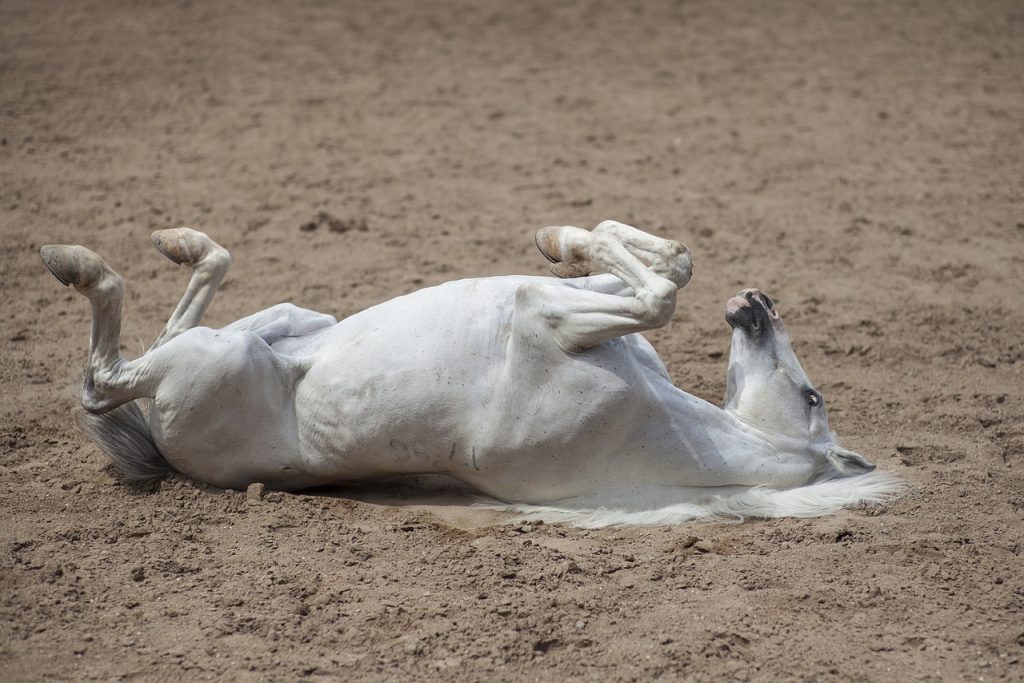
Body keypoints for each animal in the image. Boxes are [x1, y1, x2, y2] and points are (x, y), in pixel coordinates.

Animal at [40, 220, 902, 527]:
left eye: (812, 395)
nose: (759, 304)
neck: (670, 426)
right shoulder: (571, 306)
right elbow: (663, 267)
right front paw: (563, 235)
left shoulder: (550, 317)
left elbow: (659, 292)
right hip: (277, 323)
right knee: (186, 302)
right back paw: (177, 240)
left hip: (213, 360)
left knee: (104, 377)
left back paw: (74, 260)